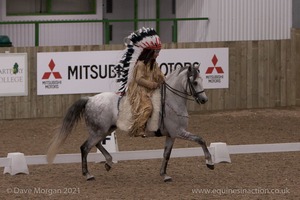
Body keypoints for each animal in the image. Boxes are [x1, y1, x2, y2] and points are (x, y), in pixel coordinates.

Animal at [47, 65, 213, 181]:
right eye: (195, 82)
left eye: (202, 80)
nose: (204, 100)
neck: (172, 100)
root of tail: (90, 99)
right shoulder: (179, 132)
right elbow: (201, 140)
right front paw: (209, 162)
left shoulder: (171, 135)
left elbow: (166, 154)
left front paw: (164, 175)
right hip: (98, 131)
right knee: (85, 148)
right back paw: (88, 174)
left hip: (105, 130)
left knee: (97, 144)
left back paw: (108, 162)